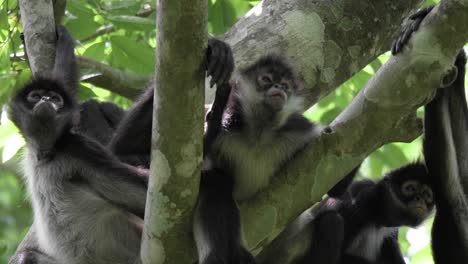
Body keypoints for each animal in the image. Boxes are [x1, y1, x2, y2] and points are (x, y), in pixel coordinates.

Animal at [9, 26, 148, 264]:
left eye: (55, 99)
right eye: (36, 96)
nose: (46, 100)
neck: (48, 151)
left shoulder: (80, 148)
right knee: (27, 257)